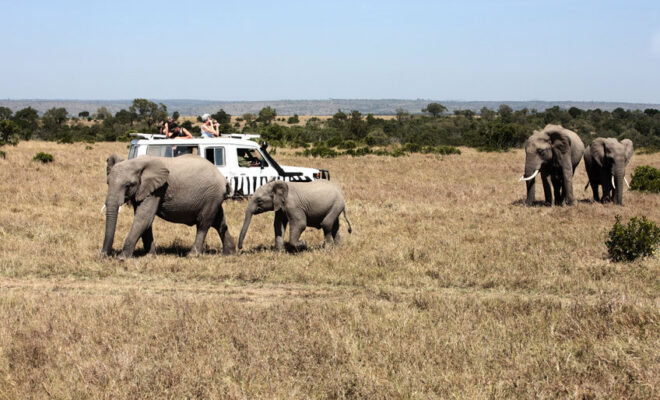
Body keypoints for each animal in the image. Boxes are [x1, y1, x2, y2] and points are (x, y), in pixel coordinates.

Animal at [102, 153, 236, 260]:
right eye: (107, 182)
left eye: (128, 185)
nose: (104, 256)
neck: (137, 162)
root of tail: (224, 179)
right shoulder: (143, 190)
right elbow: (145, 220)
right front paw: (150, 256)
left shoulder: (157, 189)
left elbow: (144, 217)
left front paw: (122, 258)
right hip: (214, 198)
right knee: (220, 223)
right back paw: (229, 254)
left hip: (211, 196)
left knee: (203, 224)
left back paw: (192, 255)